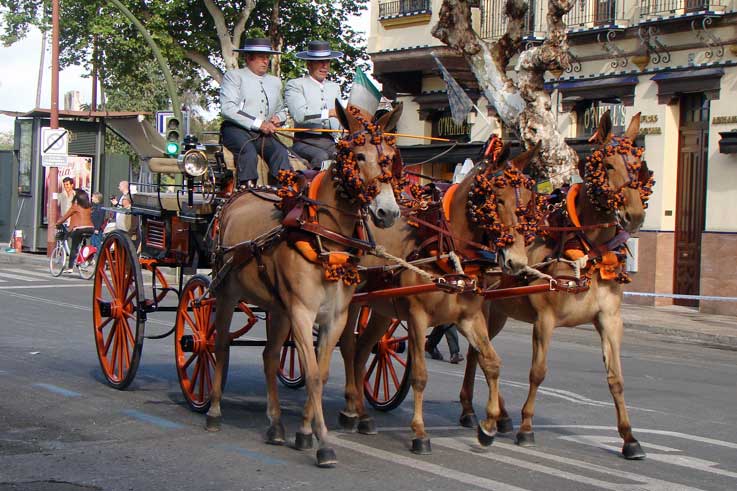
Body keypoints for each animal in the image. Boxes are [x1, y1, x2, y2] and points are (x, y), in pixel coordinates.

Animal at [206, 101, 404, 467]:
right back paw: (212, 410)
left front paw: (304, 432)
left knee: (270, 355)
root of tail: (238, 194)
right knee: (221, 346)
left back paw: (275, 424)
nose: (388, 212)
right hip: (227, 294)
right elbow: (310, 373)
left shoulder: (335, 316)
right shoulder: (302, 312)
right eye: (358, 155)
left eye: (391, 157)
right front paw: (323, 442)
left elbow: (321, 374)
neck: (323, 233)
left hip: (277, 308)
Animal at [337, 140, 542, 453]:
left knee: (362, 351)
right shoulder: (417, 317)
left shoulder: (470, 316)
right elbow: (420, 375)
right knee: (347, 347)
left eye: (528, 202)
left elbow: (491, 363)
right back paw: (349, 409)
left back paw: (362, 415)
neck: (447, 250)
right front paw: (420, 433)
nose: (517, 262)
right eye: (495, 199)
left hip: (382, 310)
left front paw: (489, 426)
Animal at [458, 111, 655, 460]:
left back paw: (488, 414)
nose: (634, 215)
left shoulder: (610, 319)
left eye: (637, 164)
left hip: (496, 312)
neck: (586, 249)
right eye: (607, 165)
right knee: (480, 356)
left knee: (477, 354)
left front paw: (629, 438)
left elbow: (616, 378)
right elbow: (538, 372)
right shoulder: (545, 320)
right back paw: (484, 414)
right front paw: (526, 428)